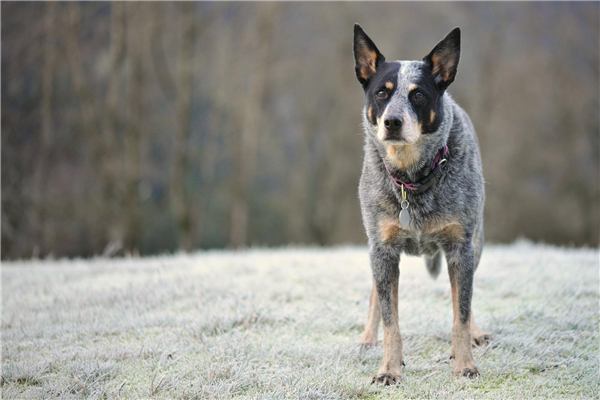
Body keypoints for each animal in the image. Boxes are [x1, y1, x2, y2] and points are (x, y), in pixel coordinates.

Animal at [354, 24, 490, 384]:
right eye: (381, 93)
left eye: (418, 95)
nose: (392, 121)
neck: (412, 179)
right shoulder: (383, 249)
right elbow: (391, 319)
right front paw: (389, 369)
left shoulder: (460, 247)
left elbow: (461, 312)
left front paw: (465, 364)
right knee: (375, 295)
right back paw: (367, 338)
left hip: (477, 243)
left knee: (465, 298)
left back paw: (476, 333)